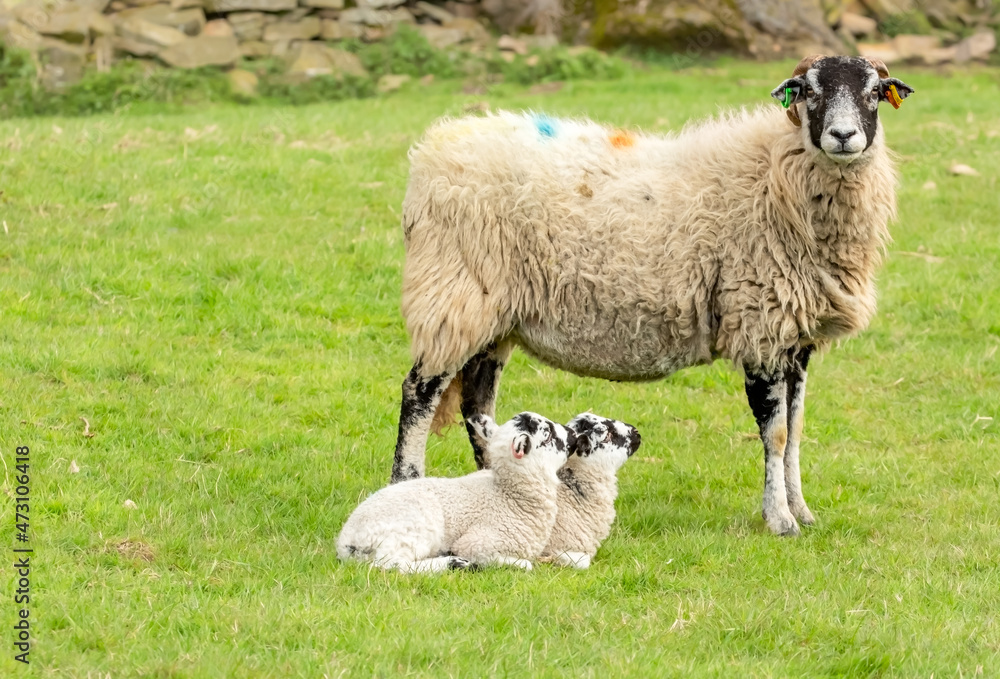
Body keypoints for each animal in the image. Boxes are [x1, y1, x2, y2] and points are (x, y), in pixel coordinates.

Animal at [338, 412, 569, 572]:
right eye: (547, 435)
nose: (573, 434)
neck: (510, 496)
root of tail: (346, 542)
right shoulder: (477, 542)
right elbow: (524, 564)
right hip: (412, 530)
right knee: (391, 564)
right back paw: (453, 563)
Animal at [389, 55, 914, 537]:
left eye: (874, 92)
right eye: (808, 91)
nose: (843, 136)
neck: (773, 173)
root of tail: (433, 149)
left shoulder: (796, 338)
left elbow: (798, 428)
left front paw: (801, 509)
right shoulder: (759, 323)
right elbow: (777, 432)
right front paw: (780, 520)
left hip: (495, 314)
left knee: (477, 406)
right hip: (453, 293)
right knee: (419, 393)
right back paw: (405, 481)